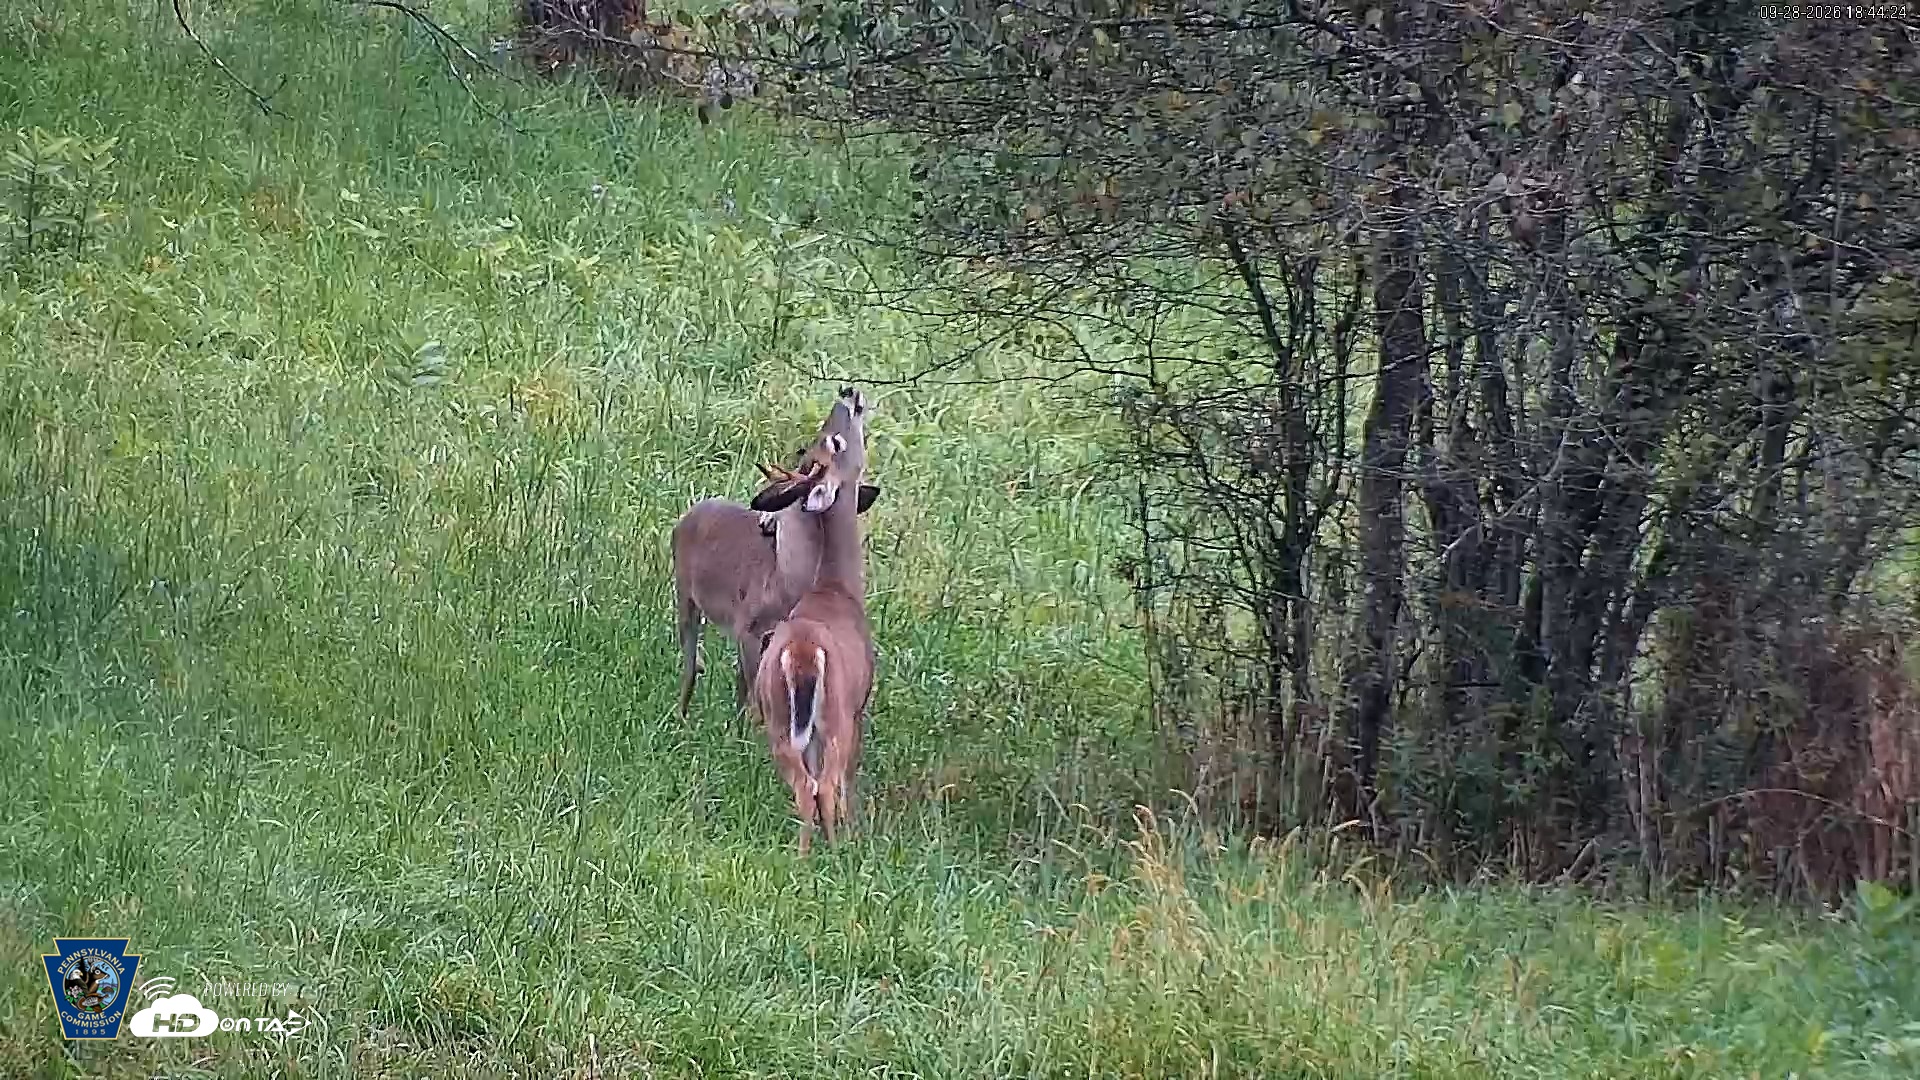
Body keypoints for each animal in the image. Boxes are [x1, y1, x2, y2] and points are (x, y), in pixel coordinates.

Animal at [671, 440, 879, 724]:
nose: (763, 520)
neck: (783, 582)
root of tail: (688, 515)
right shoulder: (747, 626)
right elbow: (750, 692)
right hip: (684, 592)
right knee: (690, 663)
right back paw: (680, 719)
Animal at [747, 385, 876, 854]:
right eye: (836, 442)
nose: (849, 392)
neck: (837, 587)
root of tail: (802, 651)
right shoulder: (858, 707)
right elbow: (844, 786)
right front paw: (851, 832)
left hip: (779, 720)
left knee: (805, 785)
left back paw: (803, 855)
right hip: (834, 716)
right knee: (822, 785)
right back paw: (832, 855)